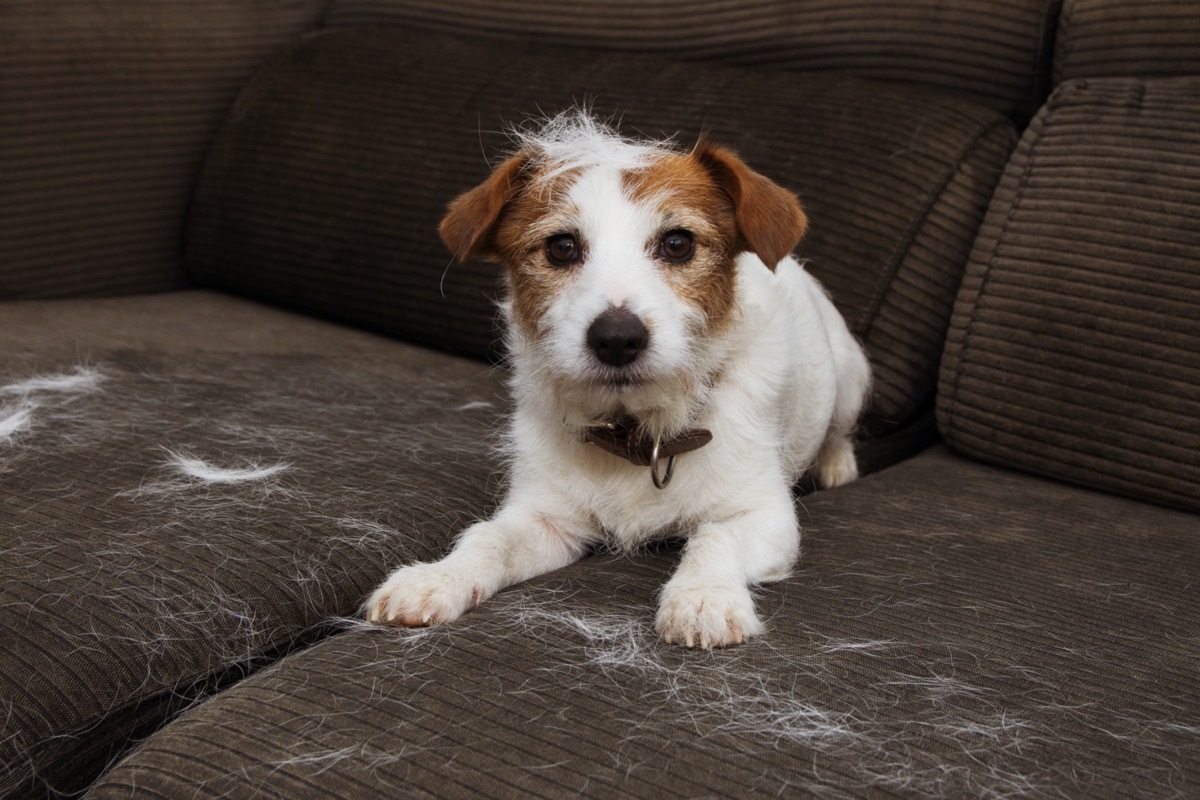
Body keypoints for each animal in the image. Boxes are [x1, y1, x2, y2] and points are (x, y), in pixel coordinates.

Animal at [360, 110, 868, 652]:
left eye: (677, 243)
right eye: (562, 247)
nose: (617, 338)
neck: (637, 432)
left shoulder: (763, 516)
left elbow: (716, 537)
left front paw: (703, 597)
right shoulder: (545, 519)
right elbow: (488, 537)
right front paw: (436, 578)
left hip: (850, 375)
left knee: (839, 430)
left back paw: (836, 466)